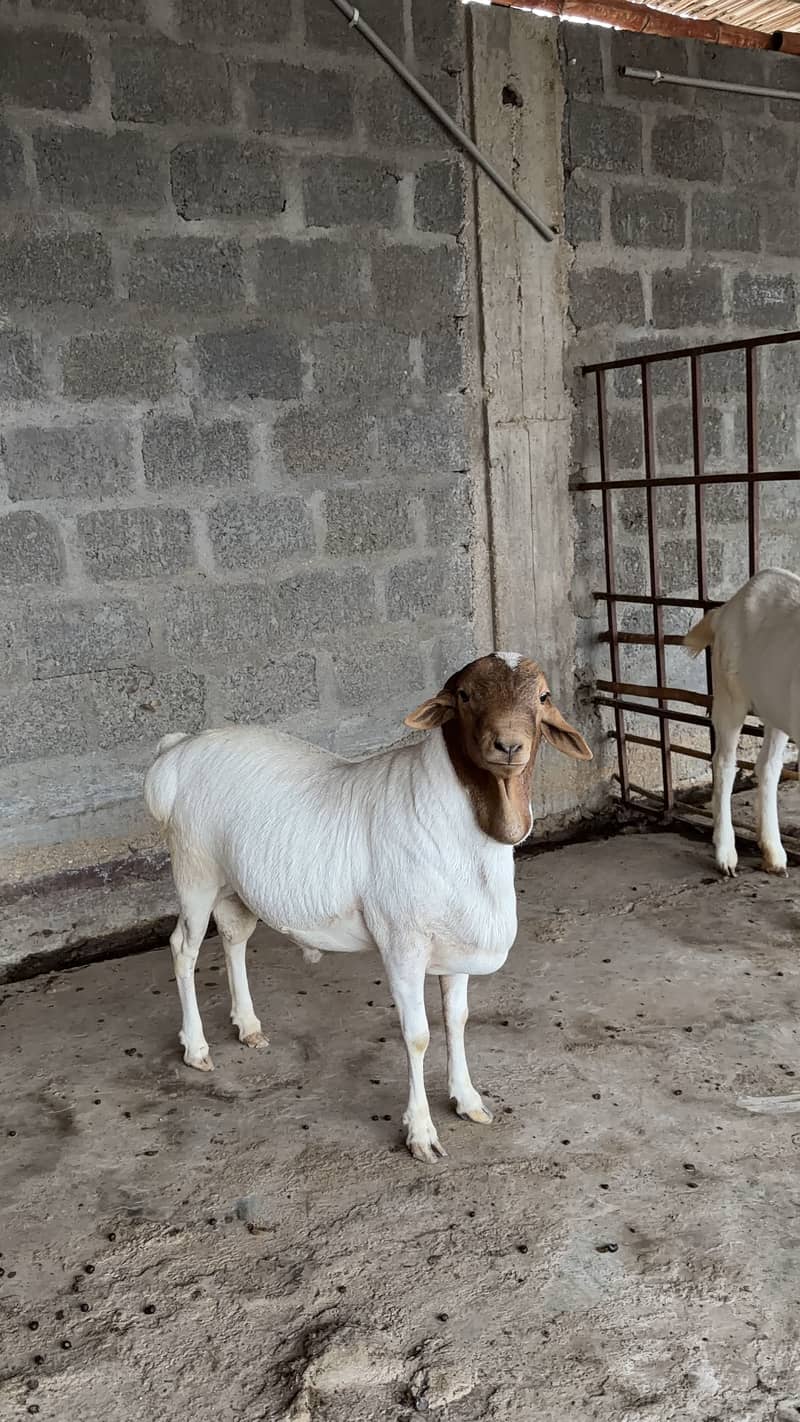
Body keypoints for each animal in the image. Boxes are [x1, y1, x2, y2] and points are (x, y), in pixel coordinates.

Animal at [144, 653, 592, 1162]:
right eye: (464, 695)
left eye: (543, 697)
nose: (509, 745)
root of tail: (177, 749)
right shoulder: (402, 943)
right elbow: (417, 1036)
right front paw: (421, 1133)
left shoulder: (456, 945)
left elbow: (456, 1021)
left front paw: (468, 1100)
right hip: (194, 870)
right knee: (183, 949)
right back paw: (196, 1048)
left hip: (234, 883)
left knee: (235, 937)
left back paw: (249, 1026)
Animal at [684, 567, 800, 879]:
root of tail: (726, 608)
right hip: (729, 695)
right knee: (724, 762)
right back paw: (726, 855)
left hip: (776, 707)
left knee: (768, 766)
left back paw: (773, 855)